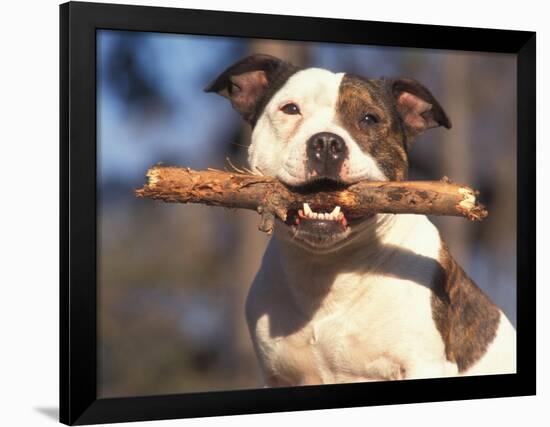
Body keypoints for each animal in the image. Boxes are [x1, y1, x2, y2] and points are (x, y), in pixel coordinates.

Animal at [206, 55, 516, 386]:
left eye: (369, 119)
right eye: (290, 109)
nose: (326, 143)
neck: (327, 268)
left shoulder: (424, 363)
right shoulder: (277, 376)